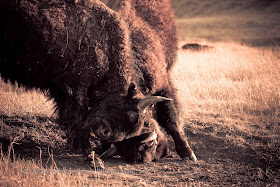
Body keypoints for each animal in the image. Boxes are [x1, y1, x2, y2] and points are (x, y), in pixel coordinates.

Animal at [0, 0, 197, 163]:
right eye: (133, 116)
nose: (103, 131)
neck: (108, 48)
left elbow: (170, 119)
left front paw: (188, 154)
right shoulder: (75, 89)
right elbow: (78, 121)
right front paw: (90, 155)